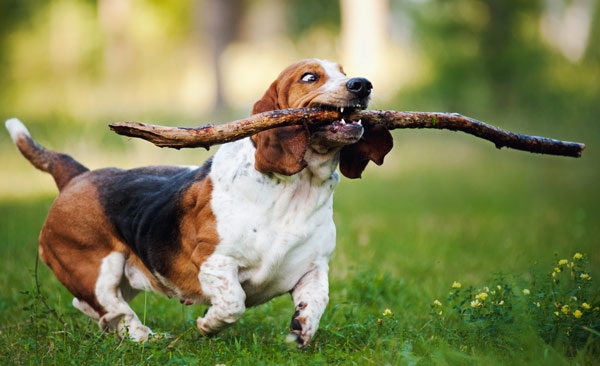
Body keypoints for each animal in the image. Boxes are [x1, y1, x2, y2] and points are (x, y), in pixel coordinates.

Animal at [5, 58, 394, 346]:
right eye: (310, 77)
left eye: (344, 71)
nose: (362, 84)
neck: (298, 190)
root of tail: (76, 175)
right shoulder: (215, 261)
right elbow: (234, 303)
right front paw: (208, 324)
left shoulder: (314, 268)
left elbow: (317, 301)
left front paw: (301, 329)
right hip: (99, 265)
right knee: (109, 306)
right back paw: (144, 336)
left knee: (93, 307)